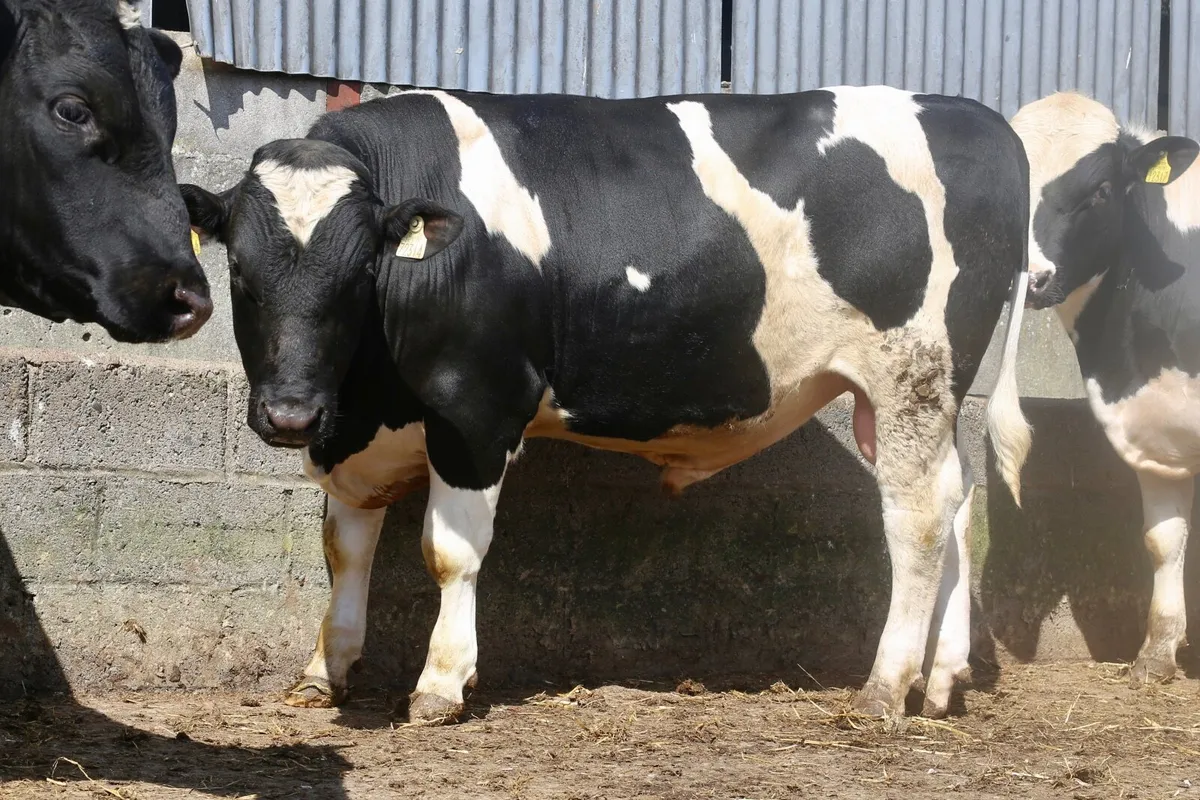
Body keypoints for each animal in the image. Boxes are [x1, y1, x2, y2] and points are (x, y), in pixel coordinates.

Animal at [181, 85, 1033, 722]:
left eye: (359, 274)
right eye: (242, 277)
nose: (290, 415)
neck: (364, 396)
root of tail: (978, 115)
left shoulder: (476, 408)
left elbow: (449, 552)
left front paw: (442, 683)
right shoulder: (356, 437)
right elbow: (346, 548)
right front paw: (326, 669)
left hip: (911, 372)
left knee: (917, 520)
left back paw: (887, 686)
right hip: (907, 398)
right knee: (956, 502)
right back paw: (942, 679)